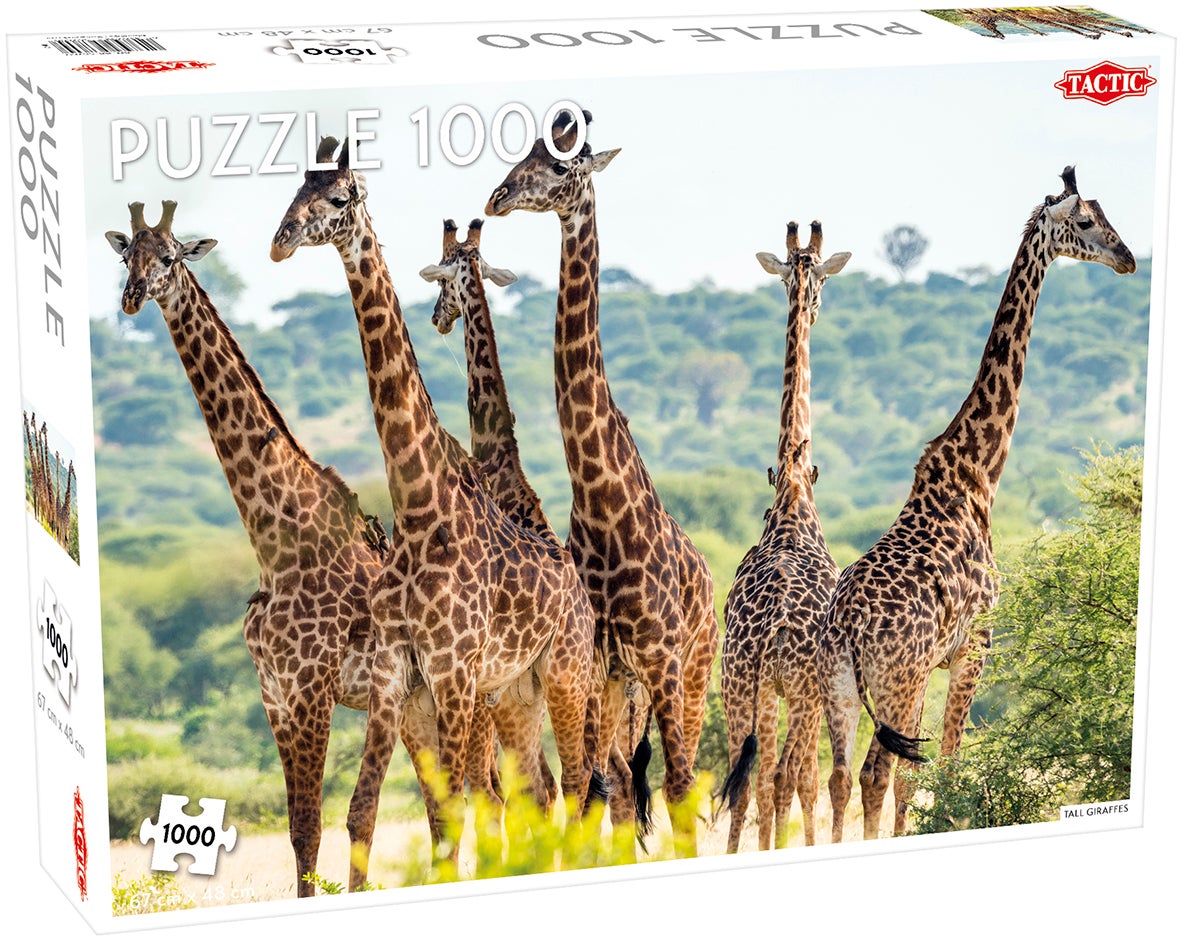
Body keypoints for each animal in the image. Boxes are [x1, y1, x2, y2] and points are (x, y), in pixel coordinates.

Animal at [270, 140, 599, 886]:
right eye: (294, 189)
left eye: (338, 198)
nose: (279, 242)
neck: (421, 511)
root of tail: (578, 588)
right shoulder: (397, 673)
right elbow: (389, 811)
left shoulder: (453, 671)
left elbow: (457, 810)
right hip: (517, 690)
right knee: (544, 789)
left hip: (563, 673)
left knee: (578, 784)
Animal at [486, 110, 719, 852]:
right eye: (520, 156)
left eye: (561, 166)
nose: (497, 197)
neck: (598, 498)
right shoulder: (594, 664)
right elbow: (594, 792)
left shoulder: (662, 658)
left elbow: (675, 789)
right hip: (621, 688)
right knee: (616, 783)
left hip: (693, 671)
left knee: (680, 780)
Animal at [817, 167, 1136, 842]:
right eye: (1087, 221)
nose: (1127, 258)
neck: (978, 474)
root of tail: (849, 630)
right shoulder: (975, 646)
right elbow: (948, 766)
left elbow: (923, 776)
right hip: (897, 680)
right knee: (876, 775)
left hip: (838, 687)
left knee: (839, 778)